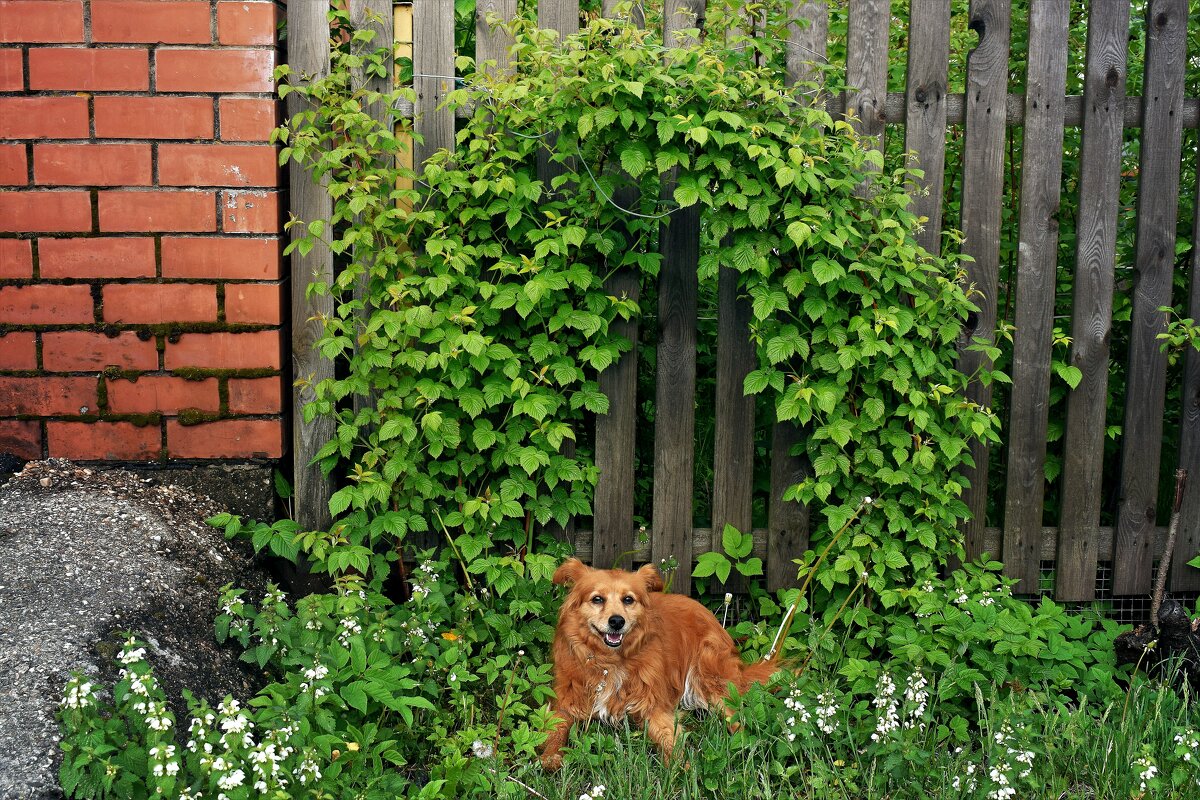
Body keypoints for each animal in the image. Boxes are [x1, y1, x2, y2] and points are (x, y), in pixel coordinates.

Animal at [542, 556, 777, 767]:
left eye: (628, 599)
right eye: (597, 599)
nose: (617, 621)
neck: (609, 662)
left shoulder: (654, 705)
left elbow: (668, 737)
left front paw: (680, 768)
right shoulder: (565, 702)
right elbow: (555, 729)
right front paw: (550, 756)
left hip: (710, 677)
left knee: (737, 717)